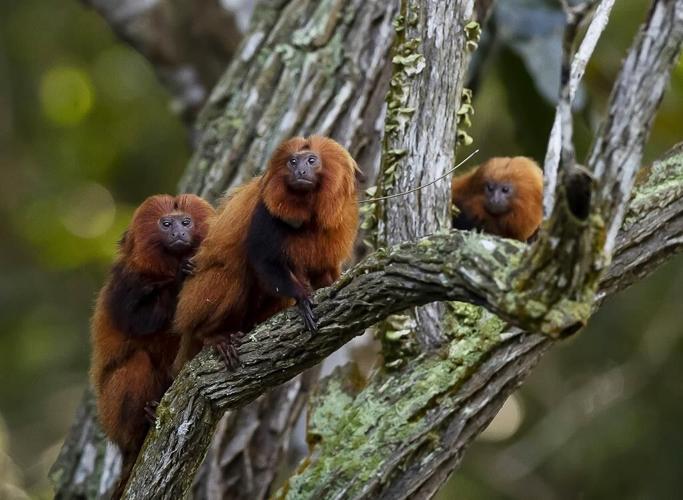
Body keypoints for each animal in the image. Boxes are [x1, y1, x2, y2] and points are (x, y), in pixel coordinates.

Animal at [89, 194, 214, 499]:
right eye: (166, 224)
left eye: (186, 222)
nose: (178, 233)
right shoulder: (124, 282)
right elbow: (139, 320)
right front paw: (181, 278)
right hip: (111, 411)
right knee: (137, 362)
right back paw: (141, 425)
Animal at [172, 135, 359, 372]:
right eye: (292, 162)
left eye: (311, 160)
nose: (300, 171)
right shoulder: (266, 209)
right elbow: (263, 259)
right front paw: (301, 297)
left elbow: (323, 269)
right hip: (193, 302)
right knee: (234, 273)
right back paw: (211, 336)